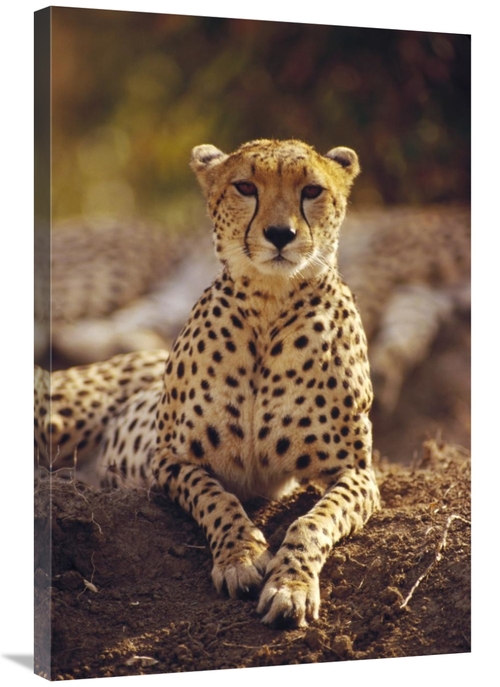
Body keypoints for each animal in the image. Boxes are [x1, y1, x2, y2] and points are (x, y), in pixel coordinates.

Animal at [35, 138, 381, 628]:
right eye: (245, 187)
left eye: (312, 190)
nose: (280, 234)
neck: (270, 303)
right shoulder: (171, 460)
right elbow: (217, 499)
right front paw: (241, 558)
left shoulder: (357, 472)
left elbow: (314, 522)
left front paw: (290, 586)